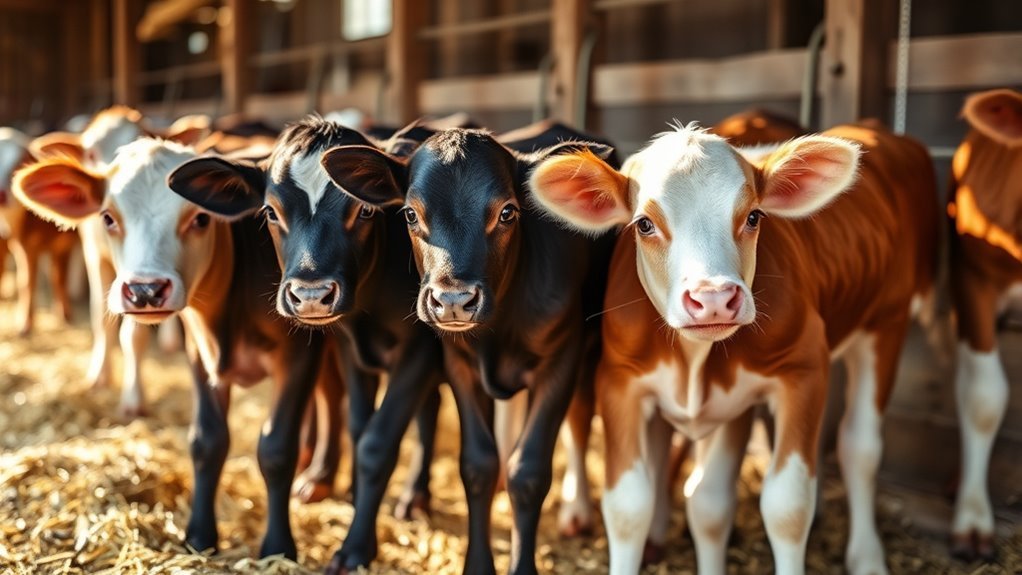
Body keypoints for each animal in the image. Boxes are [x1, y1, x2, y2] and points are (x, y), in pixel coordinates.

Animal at [0, 128, 78, 335]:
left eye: (20, 162)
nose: (1, 195)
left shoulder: (65, 246)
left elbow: (59, 279)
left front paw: (65, 315)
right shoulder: (25, 245)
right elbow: (27, 282)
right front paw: (25, 325)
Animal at [13, 138, 341, 560]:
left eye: (201, 219)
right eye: (108, 218)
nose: (145, 290)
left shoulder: (299, 353)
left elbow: (275, 449)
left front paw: (278, 548)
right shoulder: (200, 352)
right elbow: (207, 441)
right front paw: (200, 537)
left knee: (333, 396)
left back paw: (319, 477)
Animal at [166, 116, 446, 524]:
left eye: (365, 210)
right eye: (270, 212)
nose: (311, 295)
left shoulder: (419, 349)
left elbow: (377, 443)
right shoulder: (349, 347)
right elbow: (357, 423)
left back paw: (415, 495)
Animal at [320, 126, 614, 574]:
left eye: (508, 213)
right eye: (410, 214)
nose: (454, 300)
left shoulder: (561, 361)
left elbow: (529, 473)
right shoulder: (459, 365)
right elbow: (478, 464)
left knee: (579, 420)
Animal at [528, 120, 938, 575]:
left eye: (754, 216)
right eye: (644, 224)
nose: (713, 298)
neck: (693, 359)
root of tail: (873, 127)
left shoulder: (802, 370)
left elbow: (782, 506)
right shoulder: (621, 381)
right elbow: (634, 506)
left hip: (887, 321)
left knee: (859, 446)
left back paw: (867, 557)